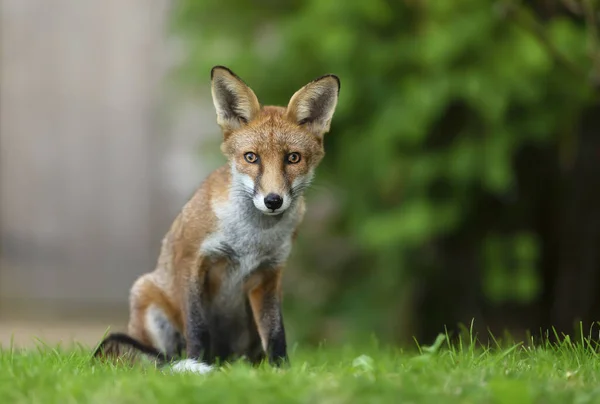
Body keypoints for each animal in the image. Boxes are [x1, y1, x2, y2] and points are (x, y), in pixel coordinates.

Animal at [91, 65, 340, 372]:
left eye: (293, 158)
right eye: (251, 157)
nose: (273, 200)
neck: (252, 238)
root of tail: (227, 358)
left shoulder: (269, 275)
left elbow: (276, 333)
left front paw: (282, 371)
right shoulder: (193, 262)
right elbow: (198, 330)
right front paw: (197, 368)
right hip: (146, 299)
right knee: (160, 359)